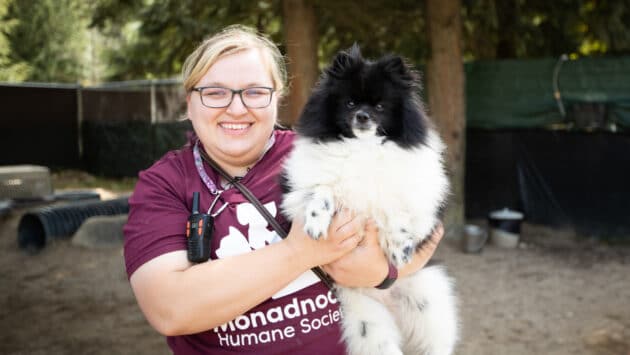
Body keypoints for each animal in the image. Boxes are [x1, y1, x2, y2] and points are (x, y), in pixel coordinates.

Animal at [282, 45, 460, 355]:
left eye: (379, 107)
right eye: (351, 103)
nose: (363, 116)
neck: (363, 147)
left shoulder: (417, 197)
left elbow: (397, 208)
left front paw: (399, 248)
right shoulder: (298, 189)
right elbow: (321, 190)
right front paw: (317, 222)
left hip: (429, 302)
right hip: (368, 323)